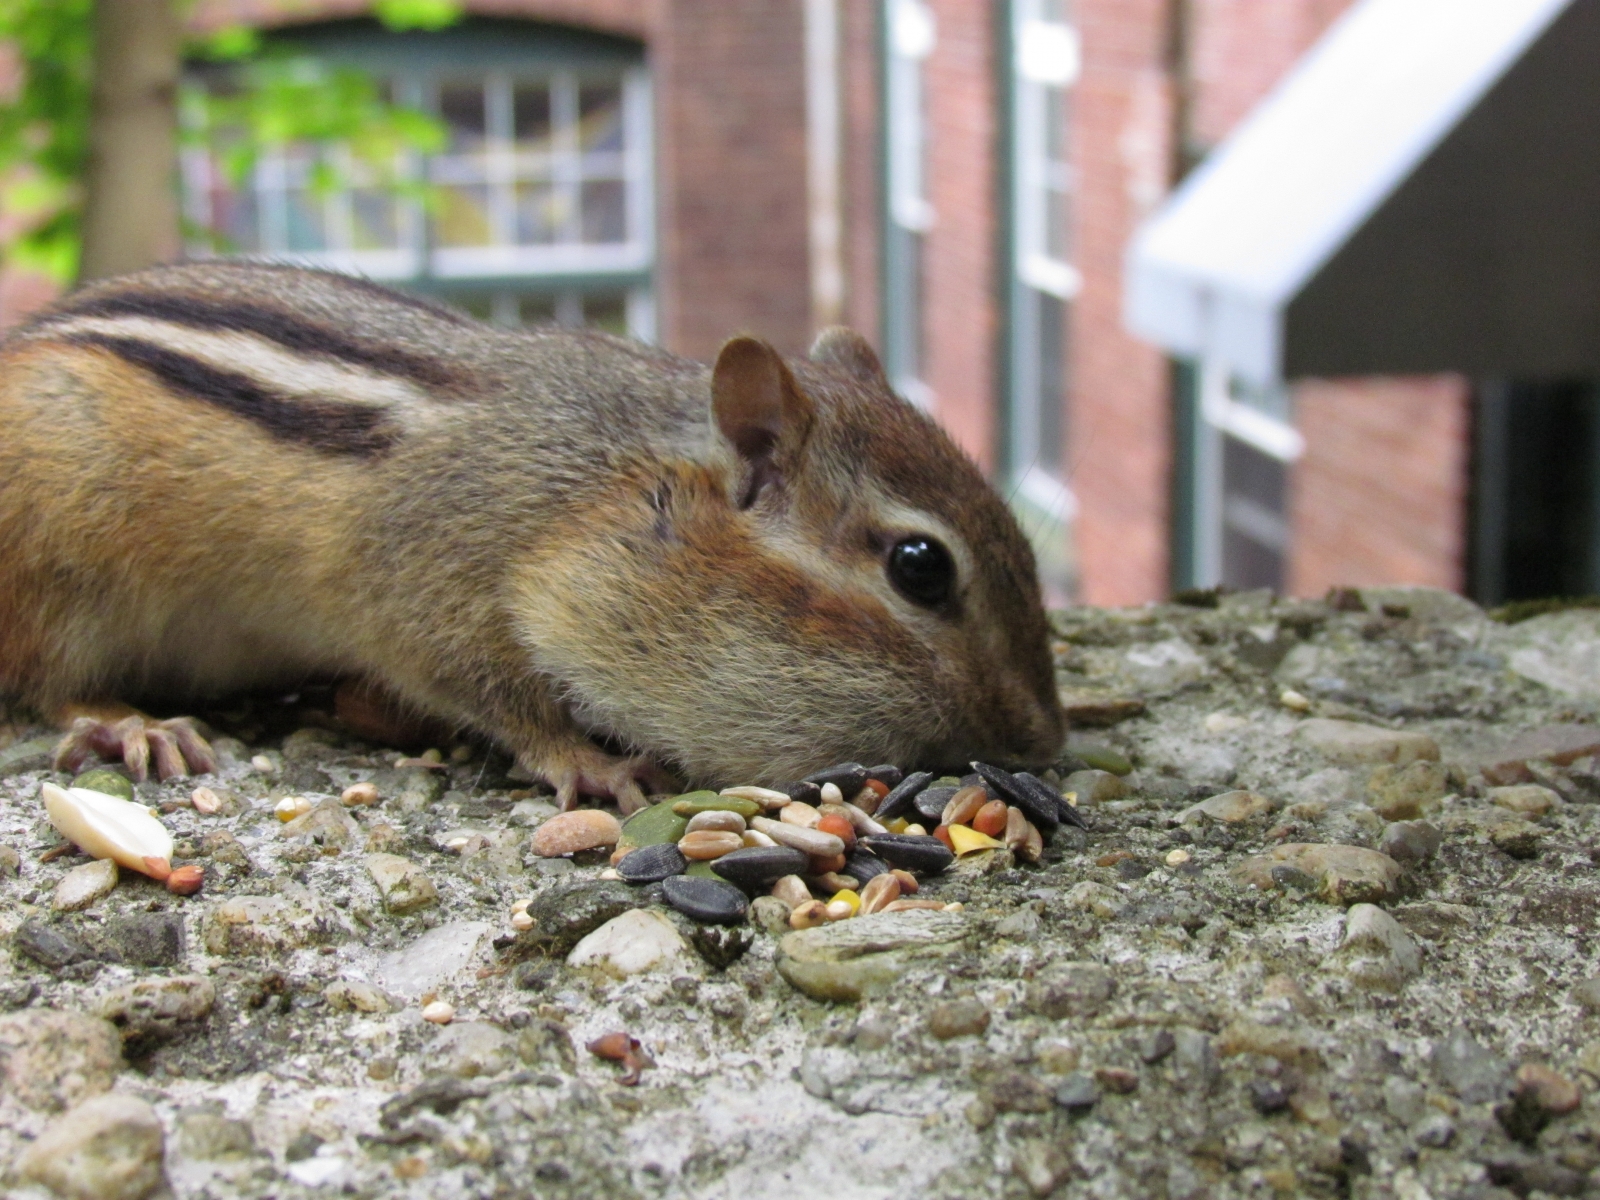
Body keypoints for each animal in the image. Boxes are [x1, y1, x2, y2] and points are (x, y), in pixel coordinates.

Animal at [0, 262, 1064, 812]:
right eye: (919, 568)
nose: (1046, 740)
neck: (605, 486)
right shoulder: (432, 581)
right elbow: (493, 689)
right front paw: (592, 761)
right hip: (59, 552)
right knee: (49, 680)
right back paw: (131, 723)